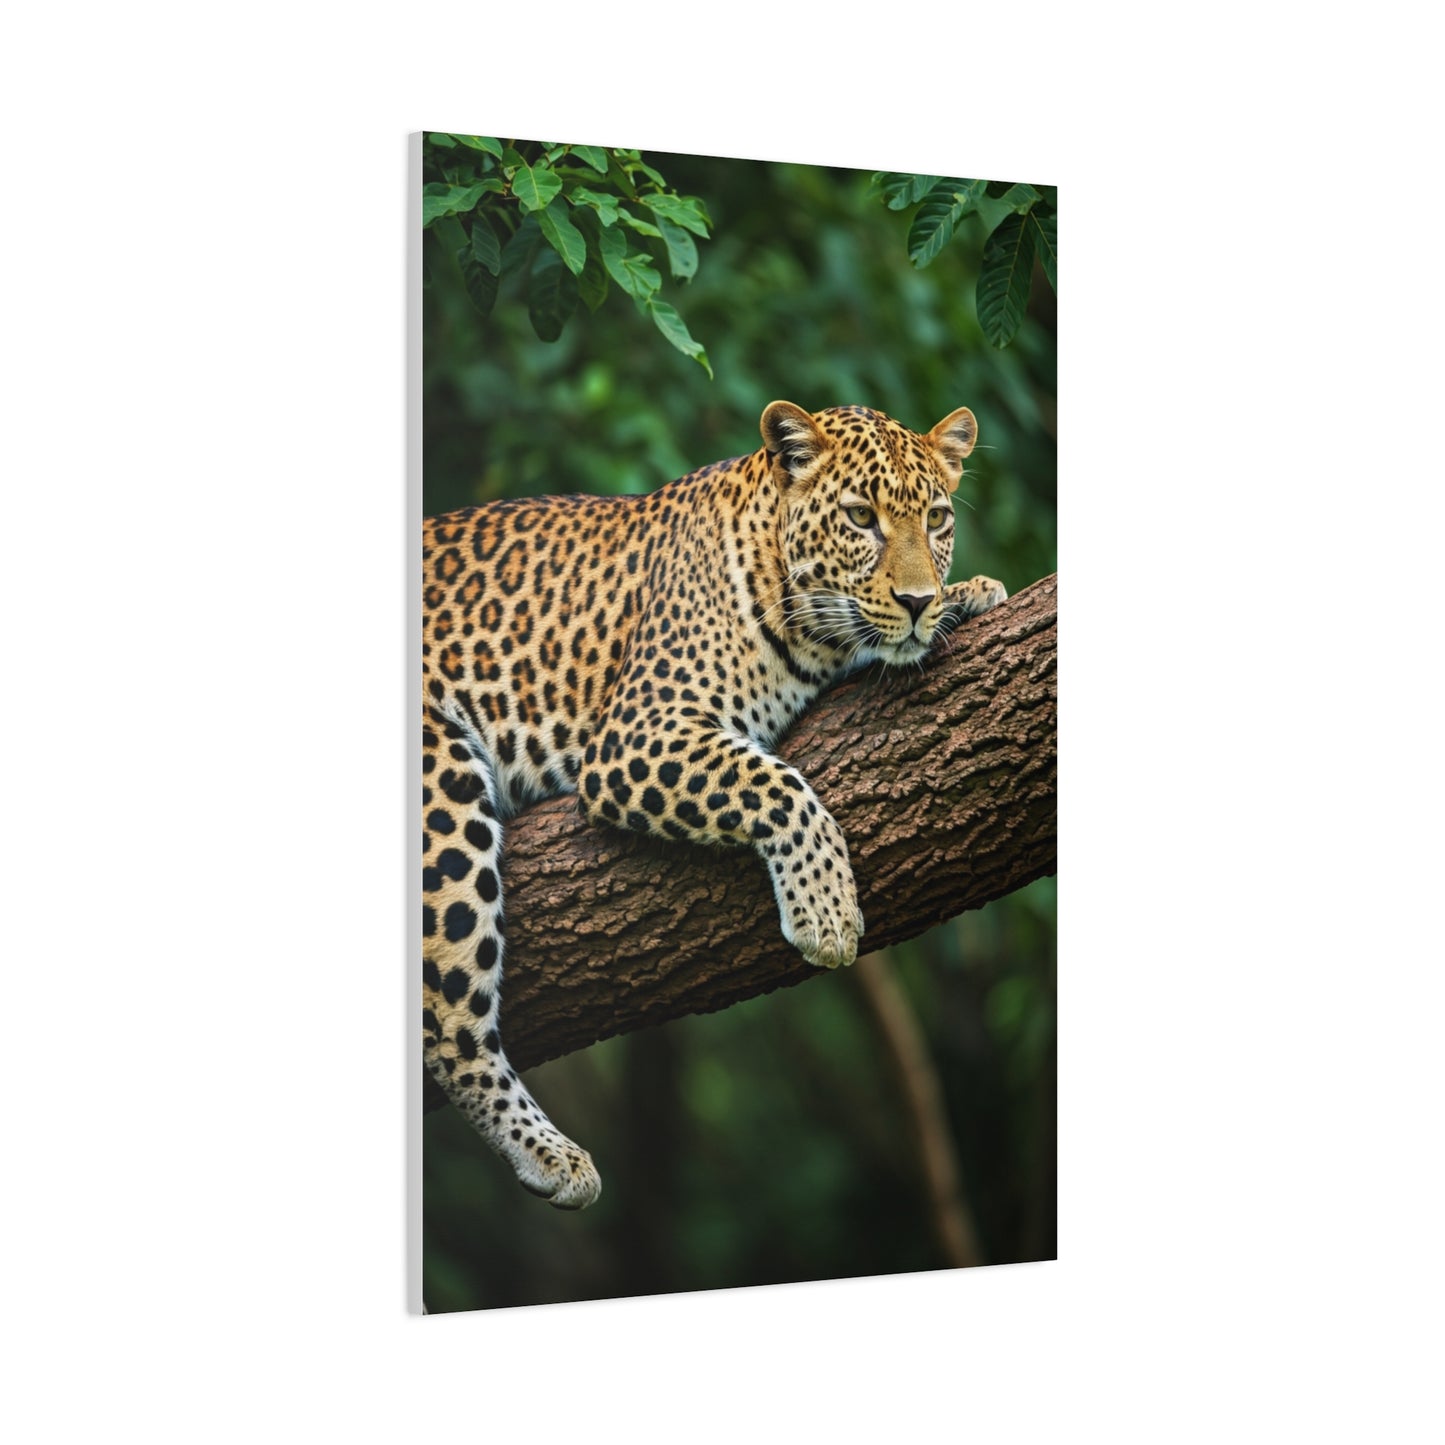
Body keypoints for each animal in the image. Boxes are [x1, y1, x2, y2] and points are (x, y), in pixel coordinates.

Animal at [422, 401, 1007, 1209]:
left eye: (938, 518)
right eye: (860, 518)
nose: (919, 602)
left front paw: (968, 592)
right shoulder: (637, 732)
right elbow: (780, 784)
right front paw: (827, 913)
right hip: (440, 787)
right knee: (447, 1019)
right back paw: (548, 1152)